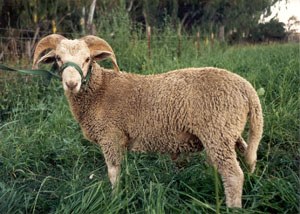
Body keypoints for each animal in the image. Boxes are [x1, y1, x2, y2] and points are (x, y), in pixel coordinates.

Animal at [32, 34, 262, 208]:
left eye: (88, 59)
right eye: (58, 59)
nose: (71, 83)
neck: (99, 90)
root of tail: (246, 88)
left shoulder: (110, 136)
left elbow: (113, 173)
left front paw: (115, 200)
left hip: (217, 131)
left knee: (233, 175)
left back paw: (234, 206)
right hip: (227, 131)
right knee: (248, 154)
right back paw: (252, 181)